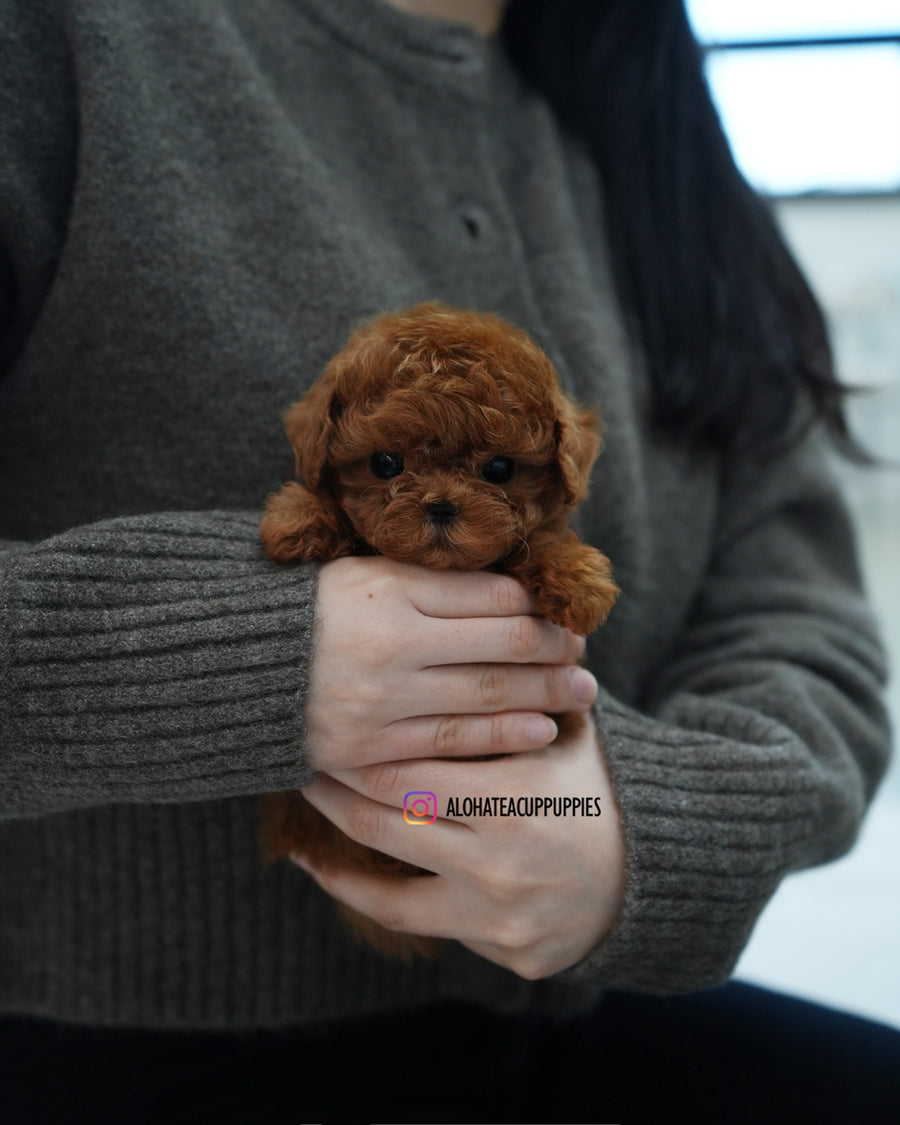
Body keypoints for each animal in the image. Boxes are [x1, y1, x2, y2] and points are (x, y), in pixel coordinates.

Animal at [256, 301, 616, 958]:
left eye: (499, 469)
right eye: (385, 463)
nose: (442, 506)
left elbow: (539, 539)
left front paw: (580, 581)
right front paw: (298, 518)